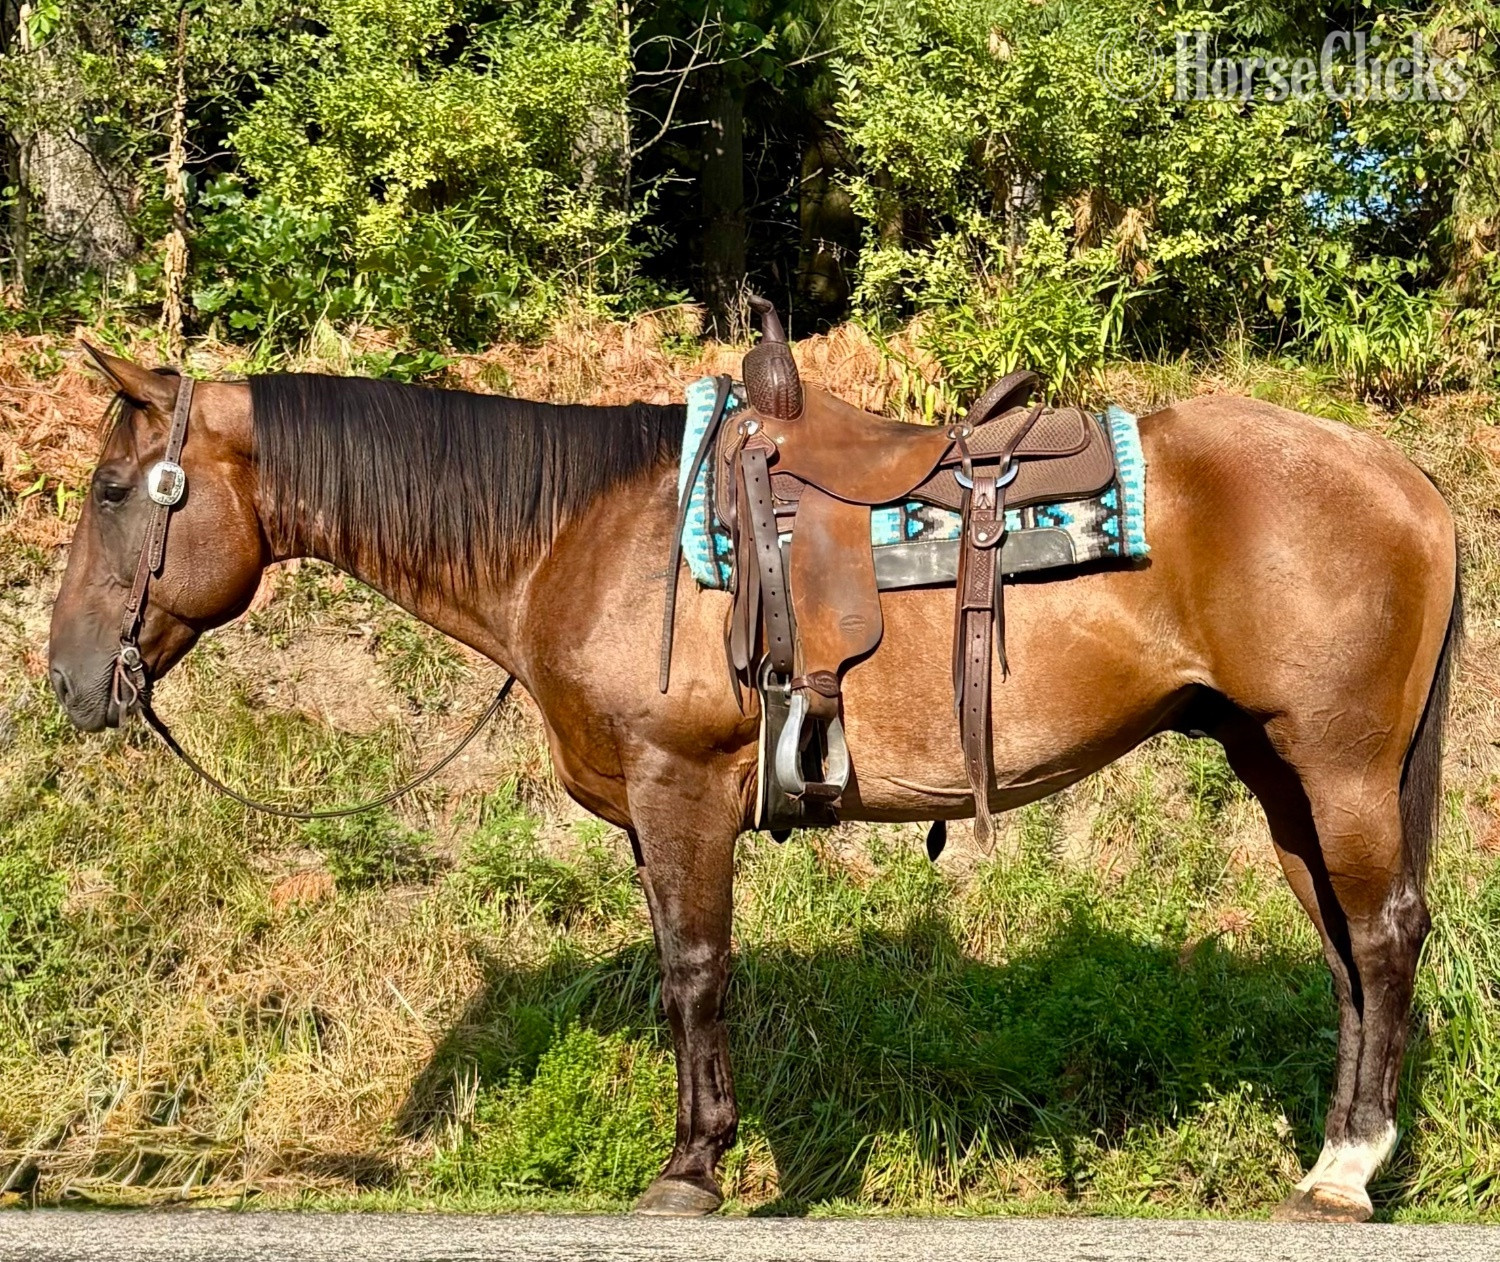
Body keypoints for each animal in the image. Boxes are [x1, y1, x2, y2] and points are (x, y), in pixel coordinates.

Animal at [48, 345, 1460, 1222]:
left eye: (117, 488)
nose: (65, 678)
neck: (585, 534)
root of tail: (1409, 479)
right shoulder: (650, 811)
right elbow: (686, 968)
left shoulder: (680, 789)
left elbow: (693, 970)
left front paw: (690, 1166)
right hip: (1278, 768)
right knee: (1343, 949)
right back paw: (1331, 1154)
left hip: (1338, 763)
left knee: (1386, 933)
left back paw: (1349, 1168)